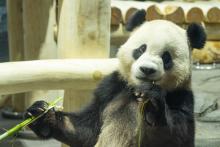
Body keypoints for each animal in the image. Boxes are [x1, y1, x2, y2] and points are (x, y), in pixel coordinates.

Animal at [25, 10, 206, 147]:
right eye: (141, 49)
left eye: (166, 57)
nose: (147, 69)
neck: (136, 90)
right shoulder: (111, 88)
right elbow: (86, 130)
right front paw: (41, 114)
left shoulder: (181, 96)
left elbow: (177, 136)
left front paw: (153, 103)